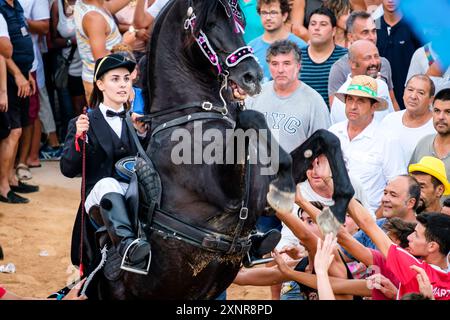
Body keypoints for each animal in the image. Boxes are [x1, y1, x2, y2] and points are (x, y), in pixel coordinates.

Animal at [80, 0, 352, 300]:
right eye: (210, 24)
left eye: (241, 23)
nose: (253, 76)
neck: (191, 118)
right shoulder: (227, 192)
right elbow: (252, 117)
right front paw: (286, 188)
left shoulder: (259, 195)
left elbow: (326, 137)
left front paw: (336, 210)